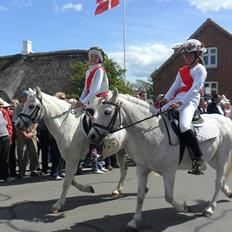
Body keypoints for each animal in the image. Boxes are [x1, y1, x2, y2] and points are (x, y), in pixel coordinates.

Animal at [88, 89, 232, 229]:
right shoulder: (142, 169)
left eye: (107, 112)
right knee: (221, 179)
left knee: (218, 181)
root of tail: (226, 119)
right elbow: (140, 195)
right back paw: (227, 192)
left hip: (221, 158)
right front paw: (135, 221)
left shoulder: (169, 172)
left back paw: (210, 208)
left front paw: (184, 207)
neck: (152, 132)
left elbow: (168, 197)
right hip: (212, 158)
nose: (91, 136)